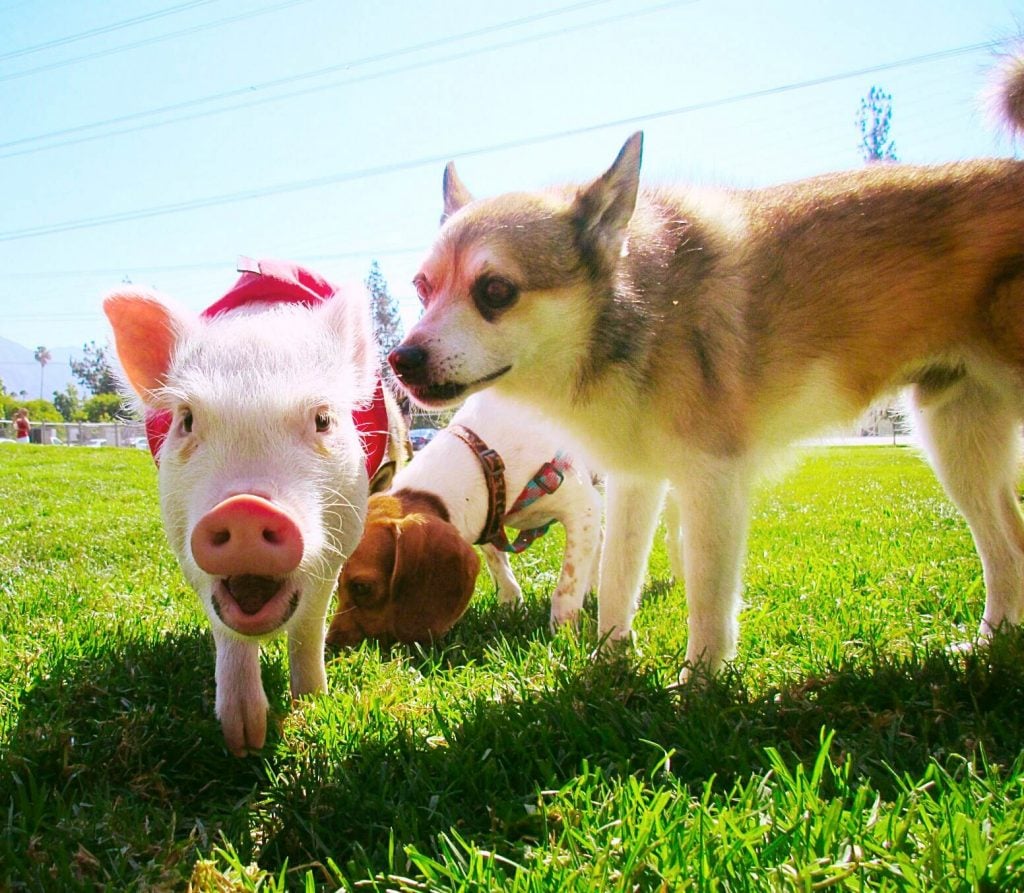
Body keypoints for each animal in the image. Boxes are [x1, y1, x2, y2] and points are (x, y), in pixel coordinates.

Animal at [105, 258, 387, 753]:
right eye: (186, 420)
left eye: (323, 419)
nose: (245, 507)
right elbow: (225, 628)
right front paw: (243, 741)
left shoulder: (340, 544)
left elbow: (309, 626)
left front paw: (310, 704)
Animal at [327, 393, 602, 647]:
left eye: (362, 587)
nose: (330, 644)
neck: (488, 456)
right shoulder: (491, 512)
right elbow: (498, 565)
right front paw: (511, 604)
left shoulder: (583, 510)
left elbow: (566, 587)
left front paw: (564, 632)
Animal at [391, 55, 1024, 671]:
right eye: (423, 287)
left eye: (496, 291)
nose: (400, 359)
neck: (641, 315)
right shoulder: (636, 479)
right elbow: (617, 580)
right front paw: (608, 664)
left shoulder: (712, 479)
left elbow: (708, 599)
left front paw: (698, 682)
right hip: (956, 439)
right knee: (1008, 547)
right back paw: (988, 645)